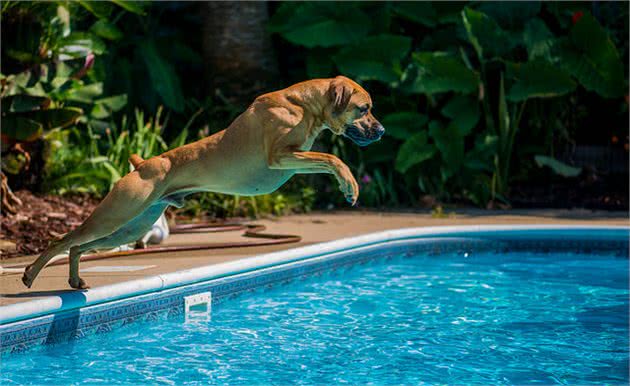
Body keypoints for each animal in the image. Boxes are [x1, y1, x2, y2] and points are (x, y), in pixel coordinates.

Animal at [23, 76, 386, 290]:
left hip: (127, 229)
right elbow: (332, 158)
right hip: (114, 215)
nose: (382, 131)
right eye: (364, 109)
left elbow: (325, 159)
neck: (304, 103)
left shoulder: (294, 158)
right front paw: (349, 185)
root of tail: (143, 165)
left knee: (77, 247)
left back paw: (74, 279)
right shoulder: (282, 156)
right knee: (62, 241)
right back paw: (30, 274)